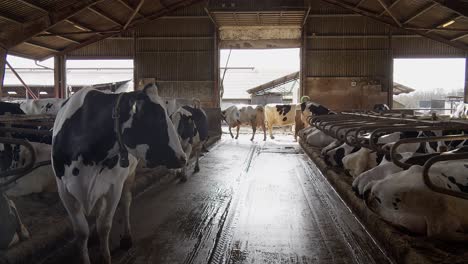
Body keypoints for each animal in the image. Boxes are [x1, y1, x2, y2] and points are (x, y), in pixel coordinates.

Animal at [51, 84, 186, 264]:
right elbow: (81, 232)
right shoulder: (64, 190)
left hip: (128, 176)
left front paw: (105, 257)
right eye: (156, 118)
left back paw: (126, 237)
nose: (182, 158)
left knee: (126, 201)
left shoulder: (114, 187)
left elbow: (104, 225)